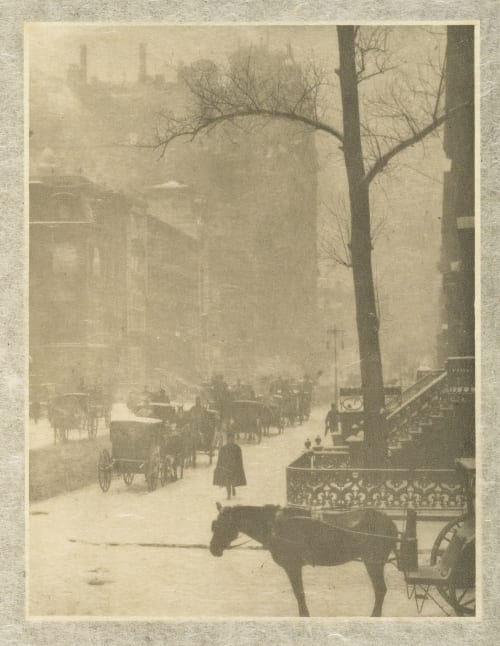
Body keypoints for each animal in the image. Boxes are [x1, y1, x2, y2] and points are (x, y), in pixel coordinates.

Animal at [210, 506, 398, 616]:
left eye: (218, 526)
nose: (212, 549)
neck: (274, 525)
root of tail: (389, 522)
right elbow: (299, 593)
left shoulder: (292, 566)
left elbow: (299, 593)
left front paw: (304, 615)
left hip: (373, 562)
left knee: (380, 590)